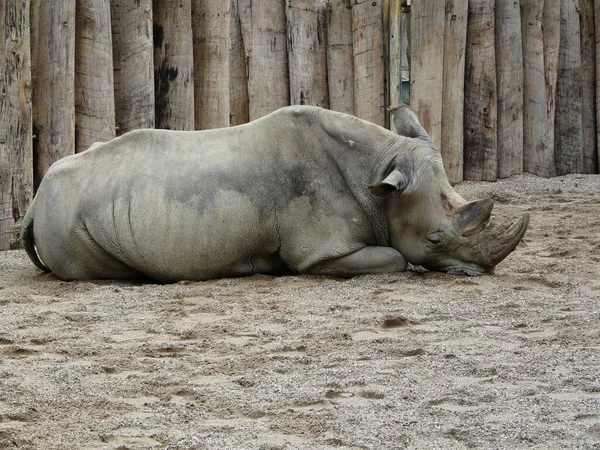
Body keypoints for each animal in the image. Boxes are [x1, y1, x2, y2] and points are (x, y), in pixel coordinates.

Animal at [21, 105, 528, 282]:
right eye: (435, 240)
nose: (480, 273)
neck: (380, 170)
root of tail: (34, 200)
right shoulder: (320, 252)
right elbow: (396, 258)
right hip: (69, 220)